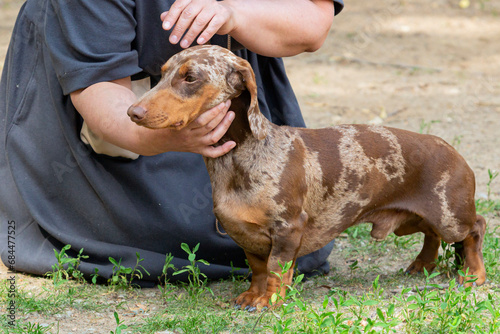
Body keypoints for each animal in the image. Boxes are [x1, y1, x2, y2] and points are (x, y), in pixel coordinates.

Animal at [127, 44, 486, 310]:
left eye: (190, 77)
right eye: (161, 74)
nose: (133, 112)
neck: (241, 158)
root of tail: (455, 152)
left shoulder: (288, 229)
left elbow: (276, 269)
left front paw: (269, 301)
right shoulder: (247, 235)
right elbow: (258, 269)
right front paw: (253, 295)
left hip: (449, 216)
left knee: (475, 229)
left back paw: (474, 275)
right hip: (417, 220)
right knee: (432, 236)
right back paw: (422, 265)